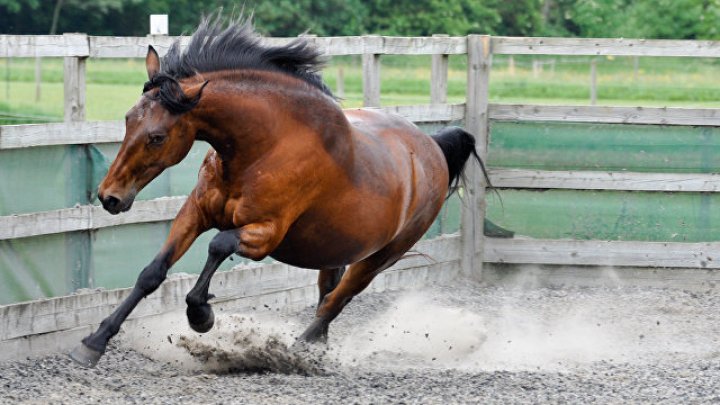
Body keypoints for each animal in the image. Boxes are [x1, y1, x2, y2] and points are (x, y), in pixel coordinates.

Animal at [70, 17, 484, 368]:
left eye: (157, 137)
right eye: (128, 119)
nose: (109, 197)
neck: (265, 146)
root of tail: (434, 148)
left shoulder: (265, 233)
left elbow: (218, 245)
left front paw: (201, 315)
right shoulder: (194, 213)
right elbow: (152, 273)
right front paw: (94, 342)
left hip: (381, 257)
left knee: (337, 301)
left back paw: (298, 352)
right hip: (334, 250)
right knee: (327, 294)